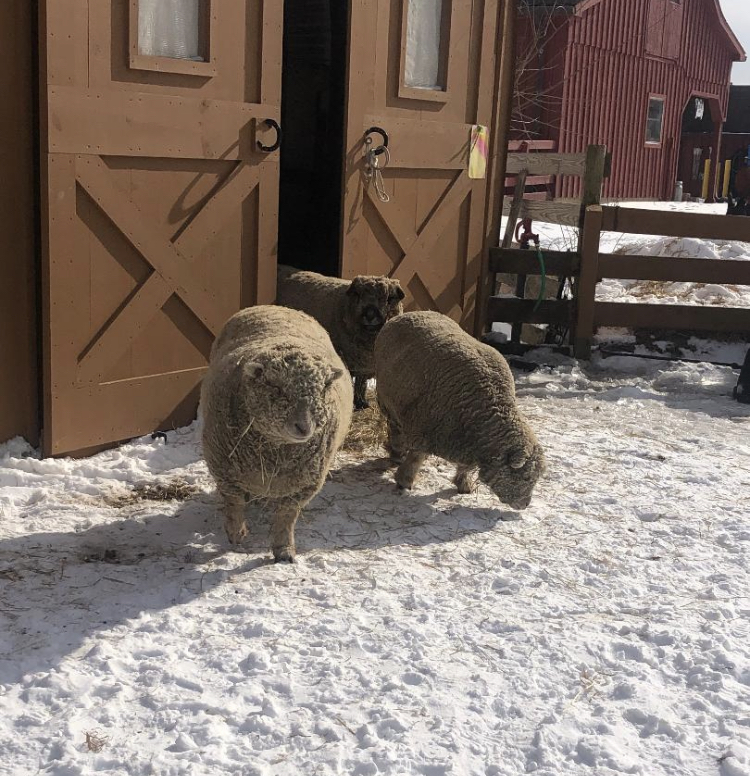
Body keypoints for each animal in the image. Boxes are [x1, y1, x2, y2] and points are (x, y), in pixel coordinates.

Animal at [200, 305, 353, 562]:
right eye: (277, 388)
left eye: (323, 388)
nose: (304, 427)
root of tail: (275, 306)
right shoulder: (224, 471)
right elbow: (233, 504)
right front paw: (236, 533)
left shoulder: (304, 486)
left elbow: (286, 517)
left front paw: (284, 550)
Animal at [276, 264, 404, 410]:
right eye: (357, 295)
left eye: (390, 298)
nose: (370, 315)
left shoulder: (363, 365)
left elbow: (361, 384)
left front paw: (361, 403)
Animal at [374, 311, 545, 510]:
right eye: (525, 477)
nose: (525, 505)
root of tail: (412, 313)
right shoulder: (425, 429)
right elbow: (416, 458)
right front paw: (404, 481)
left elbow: (465, 467)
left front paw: (464, 484)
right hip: (388, 402)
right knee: (395, 430)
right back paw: (396, 454)